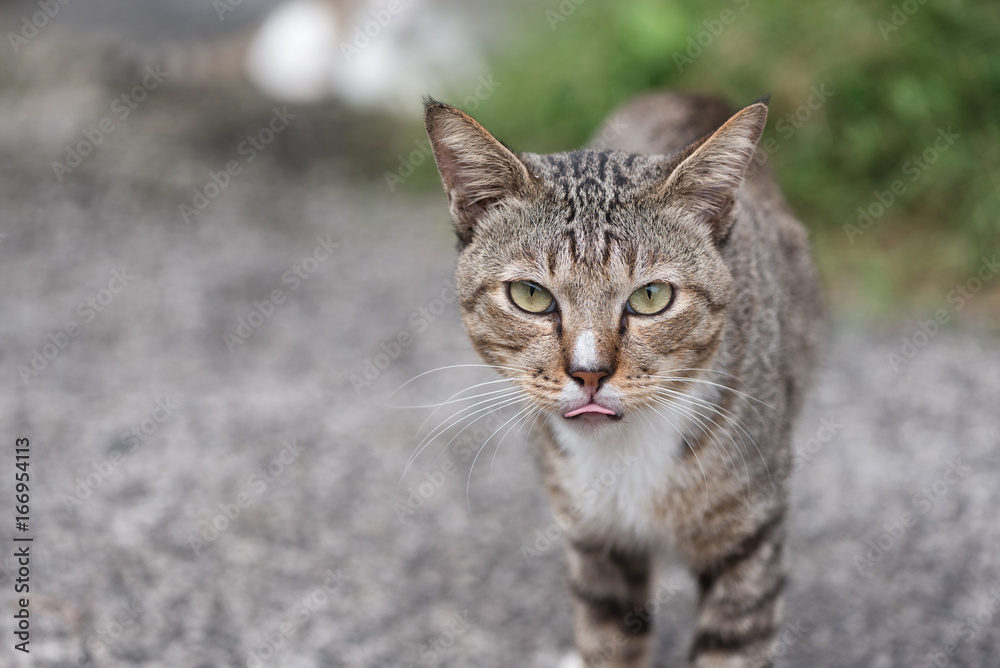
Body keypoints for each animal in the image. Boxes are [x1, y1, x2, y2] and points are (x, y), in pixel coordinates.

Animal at [426, 90, 824, 668]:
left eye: (651, 297)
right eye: (530, 295)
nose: (589, 372)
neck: (624, 450)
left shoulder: (751, 533)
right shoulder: (596, 535)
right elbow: (608, 638)